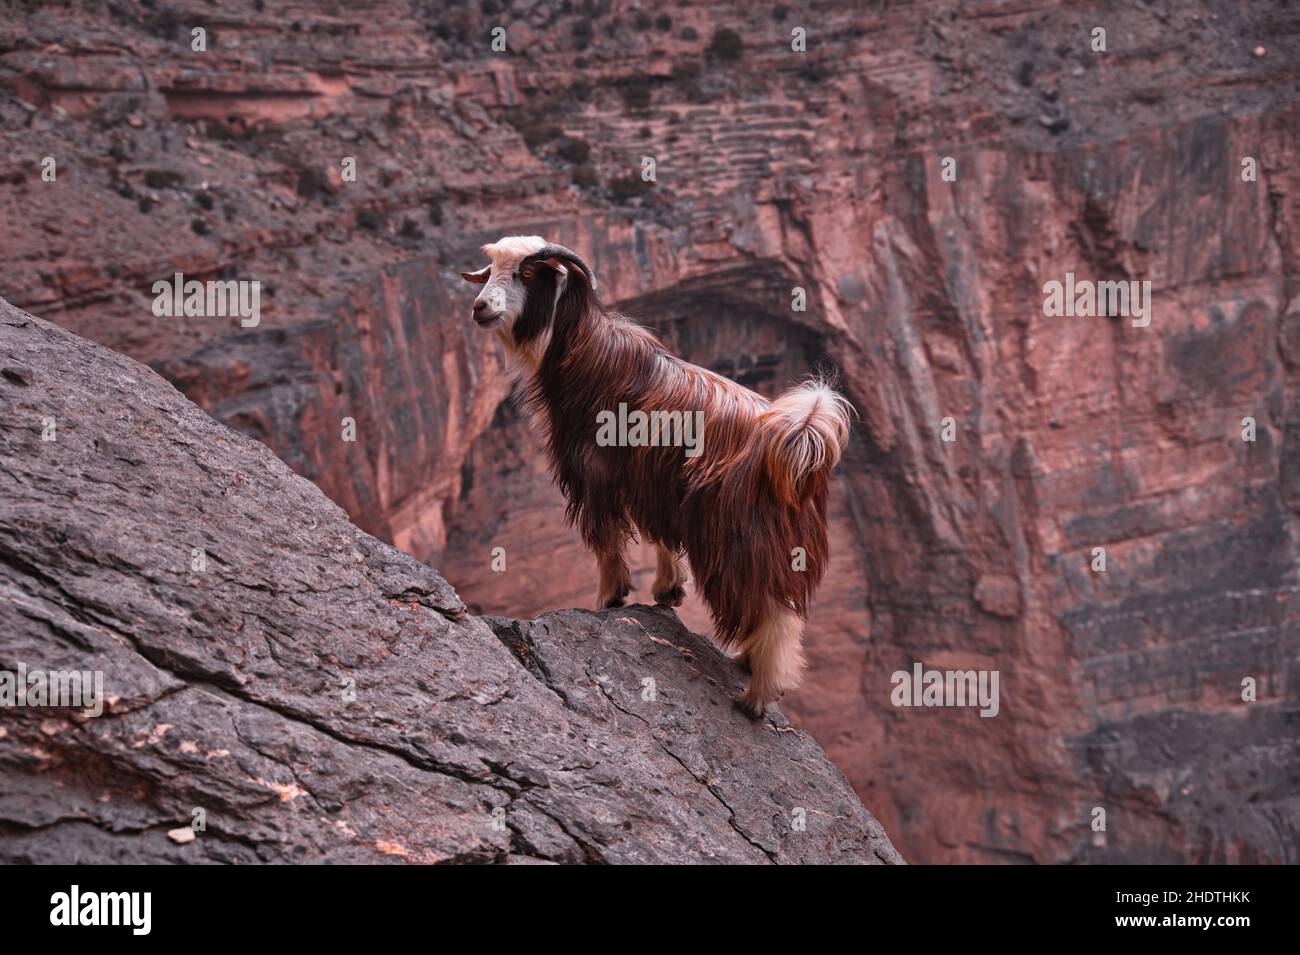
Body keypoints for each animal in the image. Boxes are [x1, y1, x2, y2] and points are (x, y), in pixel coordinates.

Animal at [461, 236, 853, 717]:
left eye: (528, 273)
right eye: (491, 268)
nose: (480, 308)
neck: (583, 352)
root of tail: (798, 442)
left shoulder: (595, 471)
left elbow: (607, 539)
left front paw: (610, 597)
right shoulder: (653, 478)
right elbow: (660, 533)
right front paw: (669, 590)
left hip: (741, 540)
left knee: (773, 612)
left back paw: (757, 696)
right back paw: (749, 660)